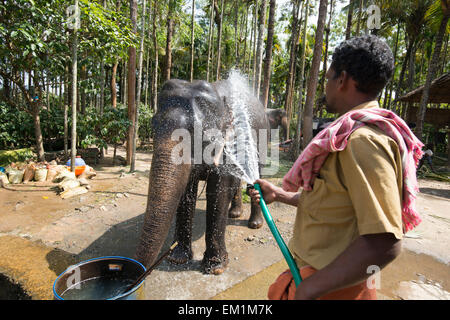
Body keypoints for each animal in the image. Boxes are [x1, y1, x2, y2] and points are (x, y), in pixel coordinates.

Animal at [135, 77, 268, 276]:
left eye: (199, 133)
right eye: (153, 125)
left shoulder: (228, 142)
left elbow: (219, 192)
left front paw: (215, 268)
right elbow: (187, 192)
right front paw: (177, 258)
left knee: (256, 175)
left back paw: (254, 224)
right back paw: (234, 214)